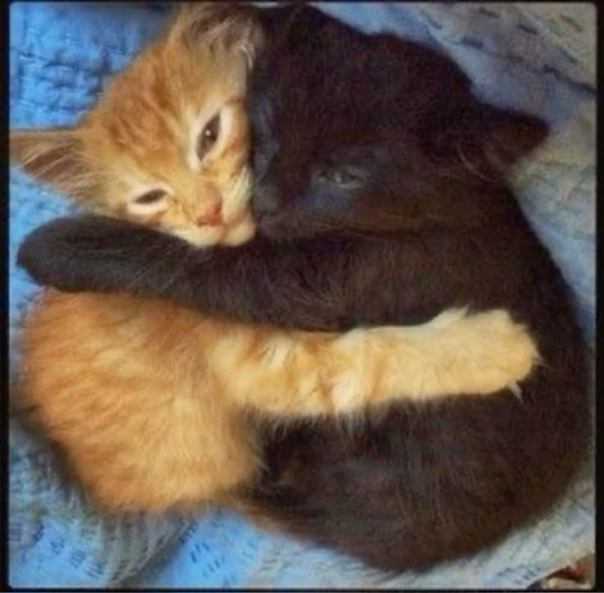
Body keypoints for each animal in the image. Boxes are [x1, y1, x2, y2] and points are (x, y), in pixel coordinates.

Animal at [9, 4, 538, 513]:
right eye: (149, 197)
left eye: (209, 135)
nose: (209, 212)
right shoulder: (266, 362)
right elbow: (370, 362)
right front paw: (494, 349)